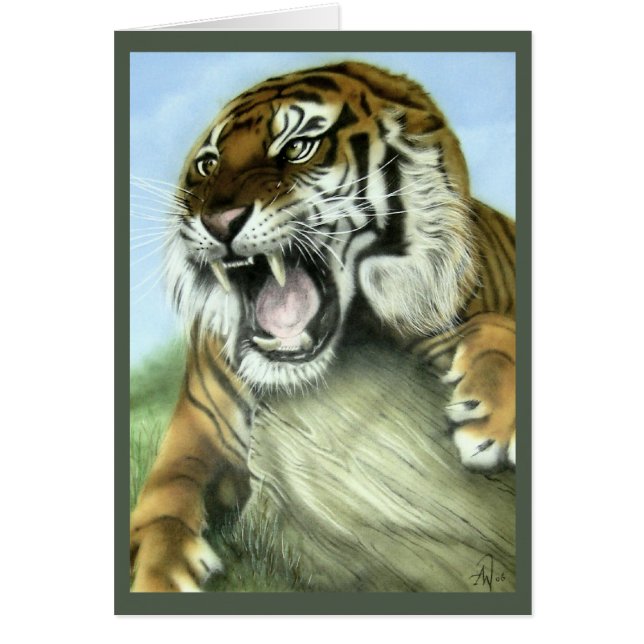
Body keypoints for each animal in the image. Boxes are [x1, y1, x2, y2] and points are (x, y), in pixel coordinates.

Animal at [129, 61, 516, 592]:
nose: (219, 221)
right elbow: (162, 502)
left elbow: (499, 329)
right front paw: (156, 578)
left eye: (297, 147)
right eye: (208, 165)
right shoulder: (197, 434)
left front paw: (489, 423)